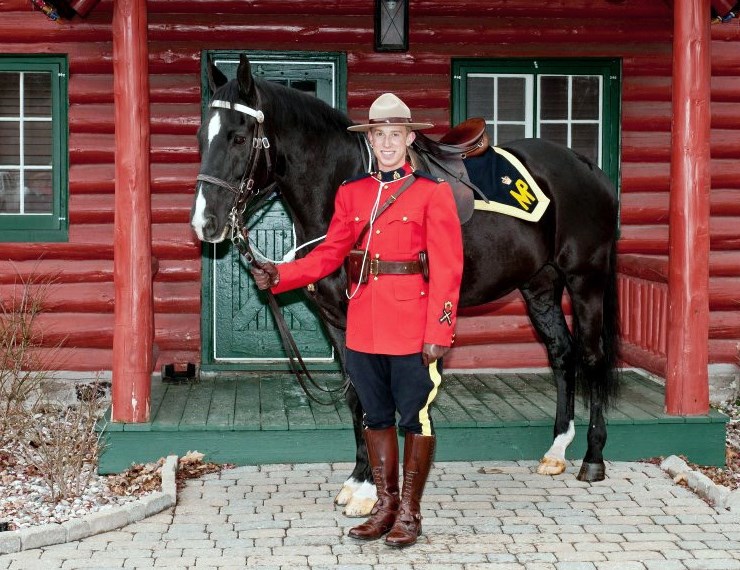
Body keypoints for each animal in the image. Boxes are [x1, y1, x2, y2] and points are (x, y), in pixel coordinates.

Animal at [189, 55, 620, 516]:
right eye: (201, 136)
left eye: (238, 137)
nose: (204, 223)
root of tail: (586, 166)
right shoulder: (338, 323)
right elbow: (357, 396)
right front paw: (358, 480)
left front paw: (368, 490)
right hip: (540, 286)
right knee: (561, 353)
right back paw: (557, 450)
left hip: (585, 279)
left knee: (591, 356)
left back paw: (593, 458)